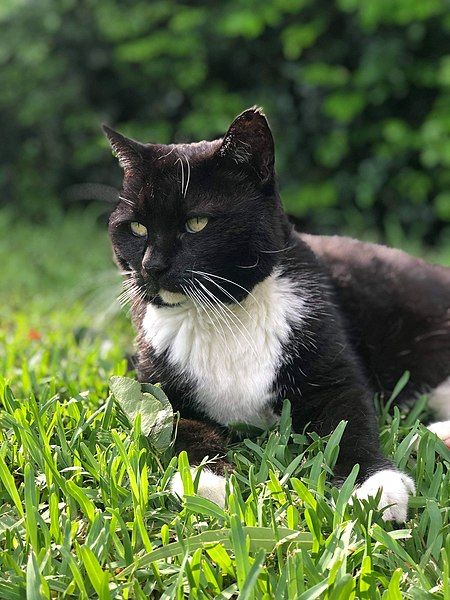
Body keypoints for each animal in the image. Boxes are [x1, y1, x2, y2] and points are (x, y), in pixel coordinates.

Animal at [103, 110, 450, 524]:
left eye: (197, 223)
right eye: (136, 227)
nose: (151, 266)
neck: (221, 314)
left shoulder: (333, 367)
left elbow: (352, 424)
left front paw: (377, 487)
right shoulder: (154, 387)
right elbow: (179, 428)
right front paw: (206, 482)